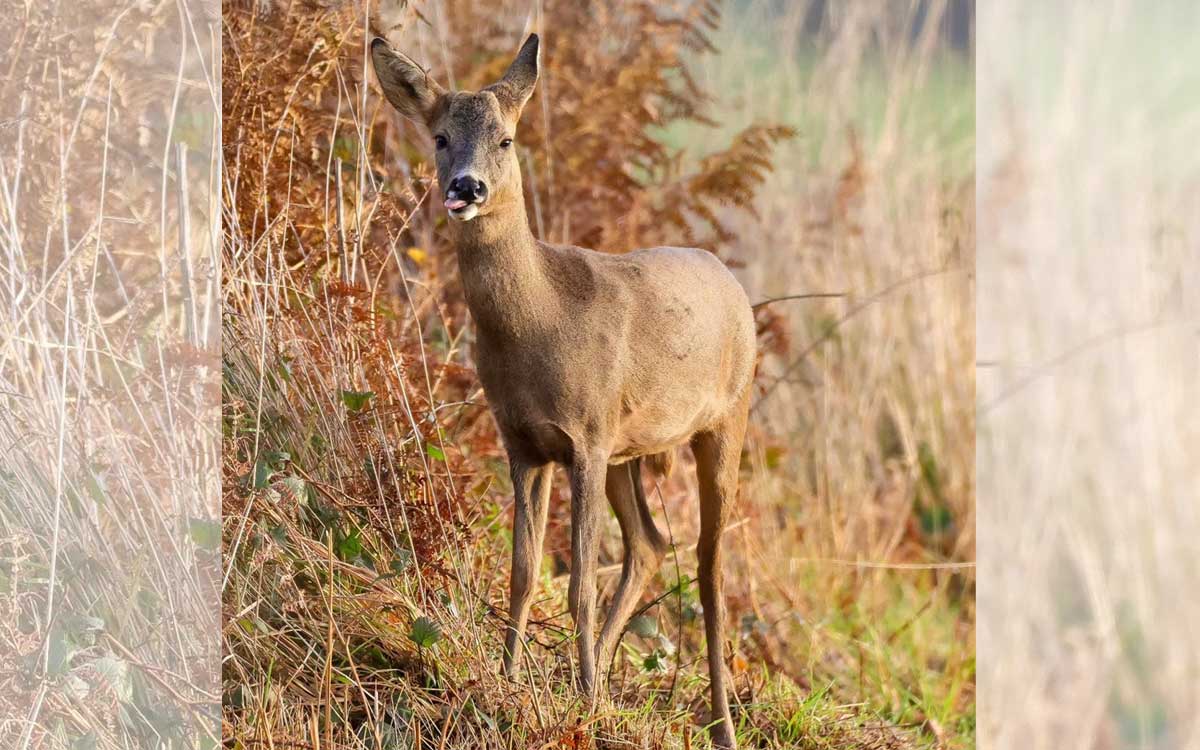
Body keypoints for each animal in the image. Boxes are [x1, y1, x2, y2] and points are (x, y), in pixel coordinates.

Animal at [372, 33, 755, 749]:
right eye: (440, 137)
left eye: (506, 139)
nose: (466, 186)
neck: (540, 322)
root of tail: (732, 280)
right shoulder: (526, 442)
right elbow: (523, 573)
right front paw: (511, 680)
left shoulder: (586, 436)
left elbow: (576, 583)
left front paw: (579, 703)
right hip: (629, 448)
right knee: (650, 545)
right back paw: (596, 677)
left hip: (725, 420)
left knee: (712, 570)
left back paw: (716, 724)